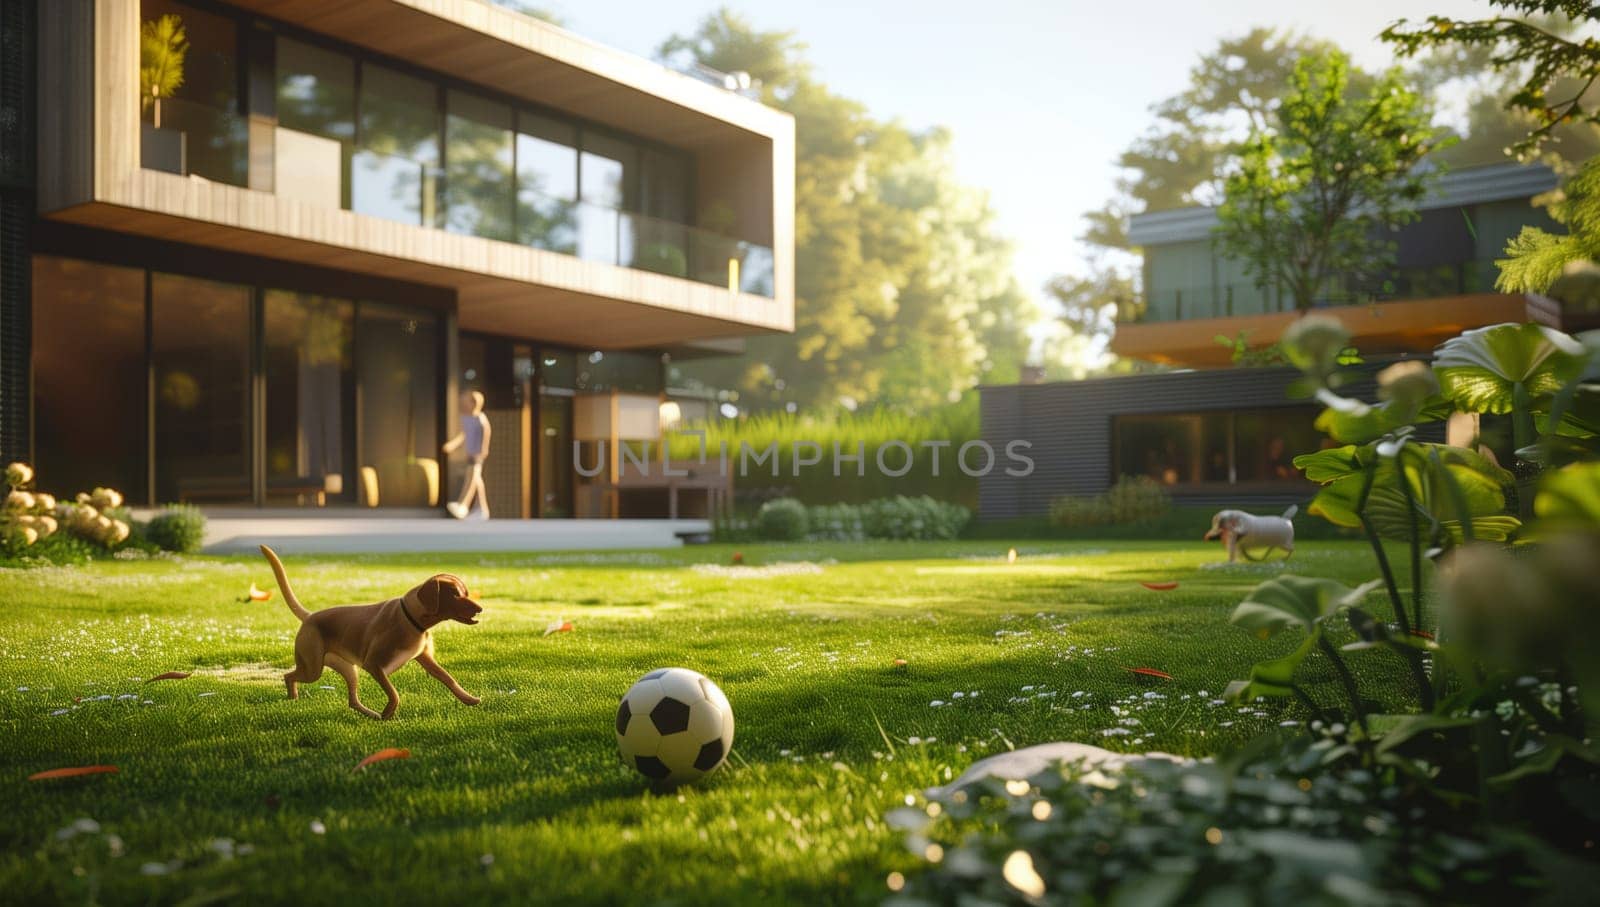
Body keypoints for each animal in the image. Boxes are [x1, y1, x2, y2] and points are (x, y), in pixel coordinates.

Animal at [259, 543, 483, 719]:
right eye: (455, 595)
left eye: (465, 593)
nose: (480, 608)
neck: (411, 618)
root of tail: (310, 616)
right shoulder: (374, 665)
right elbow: (394, 693)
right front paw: (389, 712)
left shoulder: (426, 659)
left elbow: (448, 678)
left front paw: (469, 699)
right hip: (313, 668)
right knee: (289, 676)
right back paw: (293, 698)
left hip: (349, 670)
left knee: (352, 701)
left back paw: (372, 715)